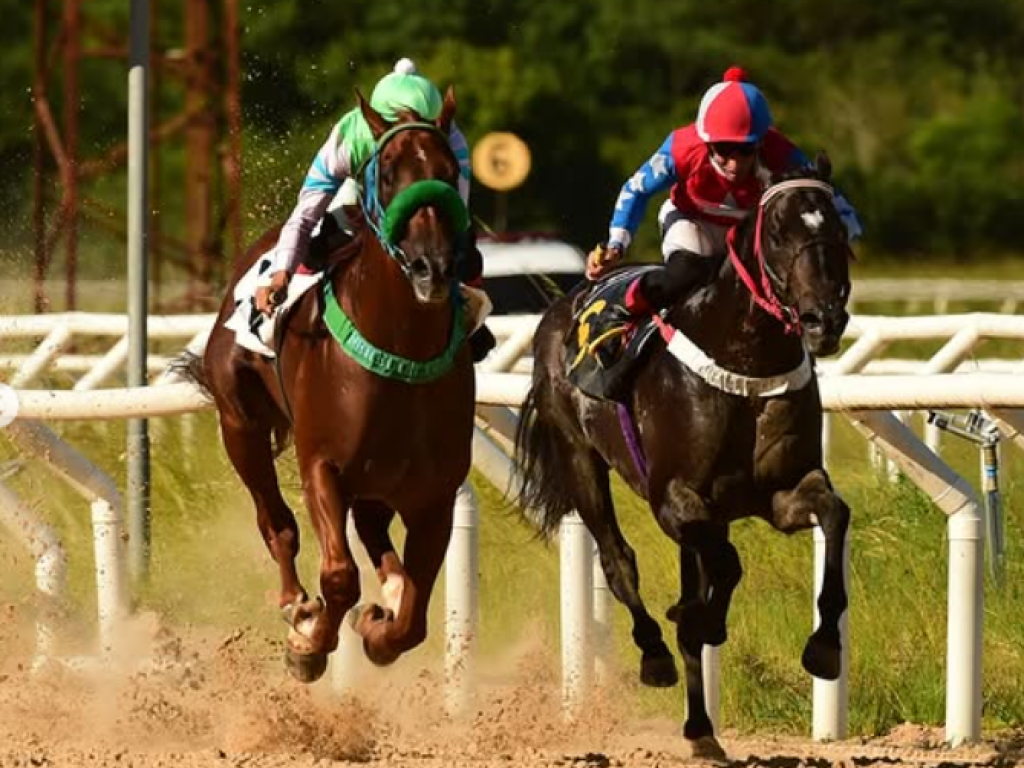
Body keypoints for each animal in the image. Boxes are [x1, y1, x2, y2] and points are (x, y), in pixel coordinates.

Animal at [186, 87, 473, 684]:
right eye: (388, 174)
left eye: (448, 171)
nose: (432, 268)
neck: (401, 357)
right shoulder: (323, 463)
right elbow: (338, 576)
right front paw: (309, 644)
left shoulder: (434, 492)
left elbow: (414, 617)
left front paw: (380, 628)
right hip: (240, 426)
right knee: (277, 523)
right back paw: (296, 603)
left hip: (379, 479)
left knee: (373, 532)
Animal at [516, 156, 851, 757]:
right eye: (778, 232)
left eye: (836, 227)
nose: (823, 320)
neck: (746, 362)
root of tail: (563, 302)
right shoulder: (675, 499)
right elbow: (726, 567)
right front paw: (700, 622)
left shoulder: (784, 490)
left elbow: (835, 515)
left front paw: (823, 646)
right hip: (580, 458)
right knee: (618, 560)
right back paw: (655, 655)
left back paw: (702, 729)